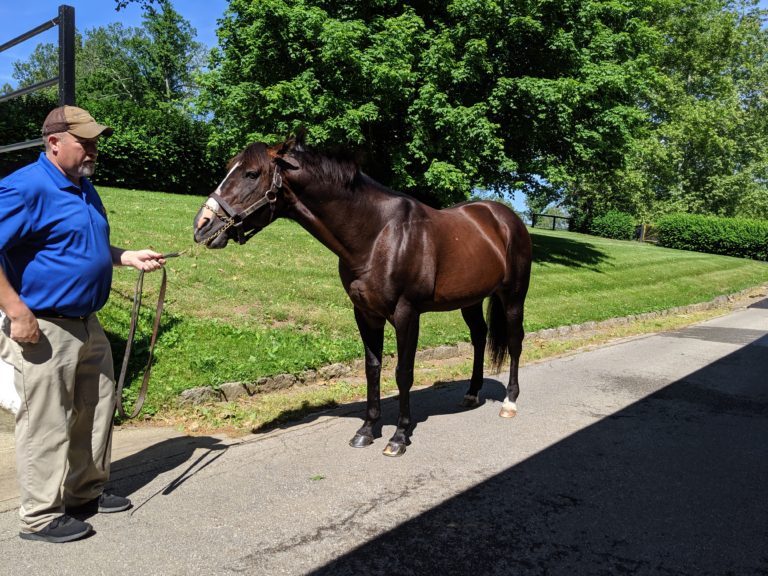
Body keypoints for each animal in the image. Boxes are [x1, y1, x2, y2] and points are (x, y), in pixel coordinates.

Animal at [192, 135, 532, 454]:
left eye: (251, 173)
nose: (202, 226)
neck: (378, 235)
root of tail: (505, 217)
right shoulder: (365, 313)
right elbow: (372, 369)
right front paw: (367, 430)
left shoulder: (407, 314)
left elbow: (403, 372)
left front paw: (399, 436)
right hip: (470, 301)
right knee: (479, 337)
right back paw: (472, 393)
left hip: (513, 297)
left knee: (515, 341)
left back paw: (509, 402)